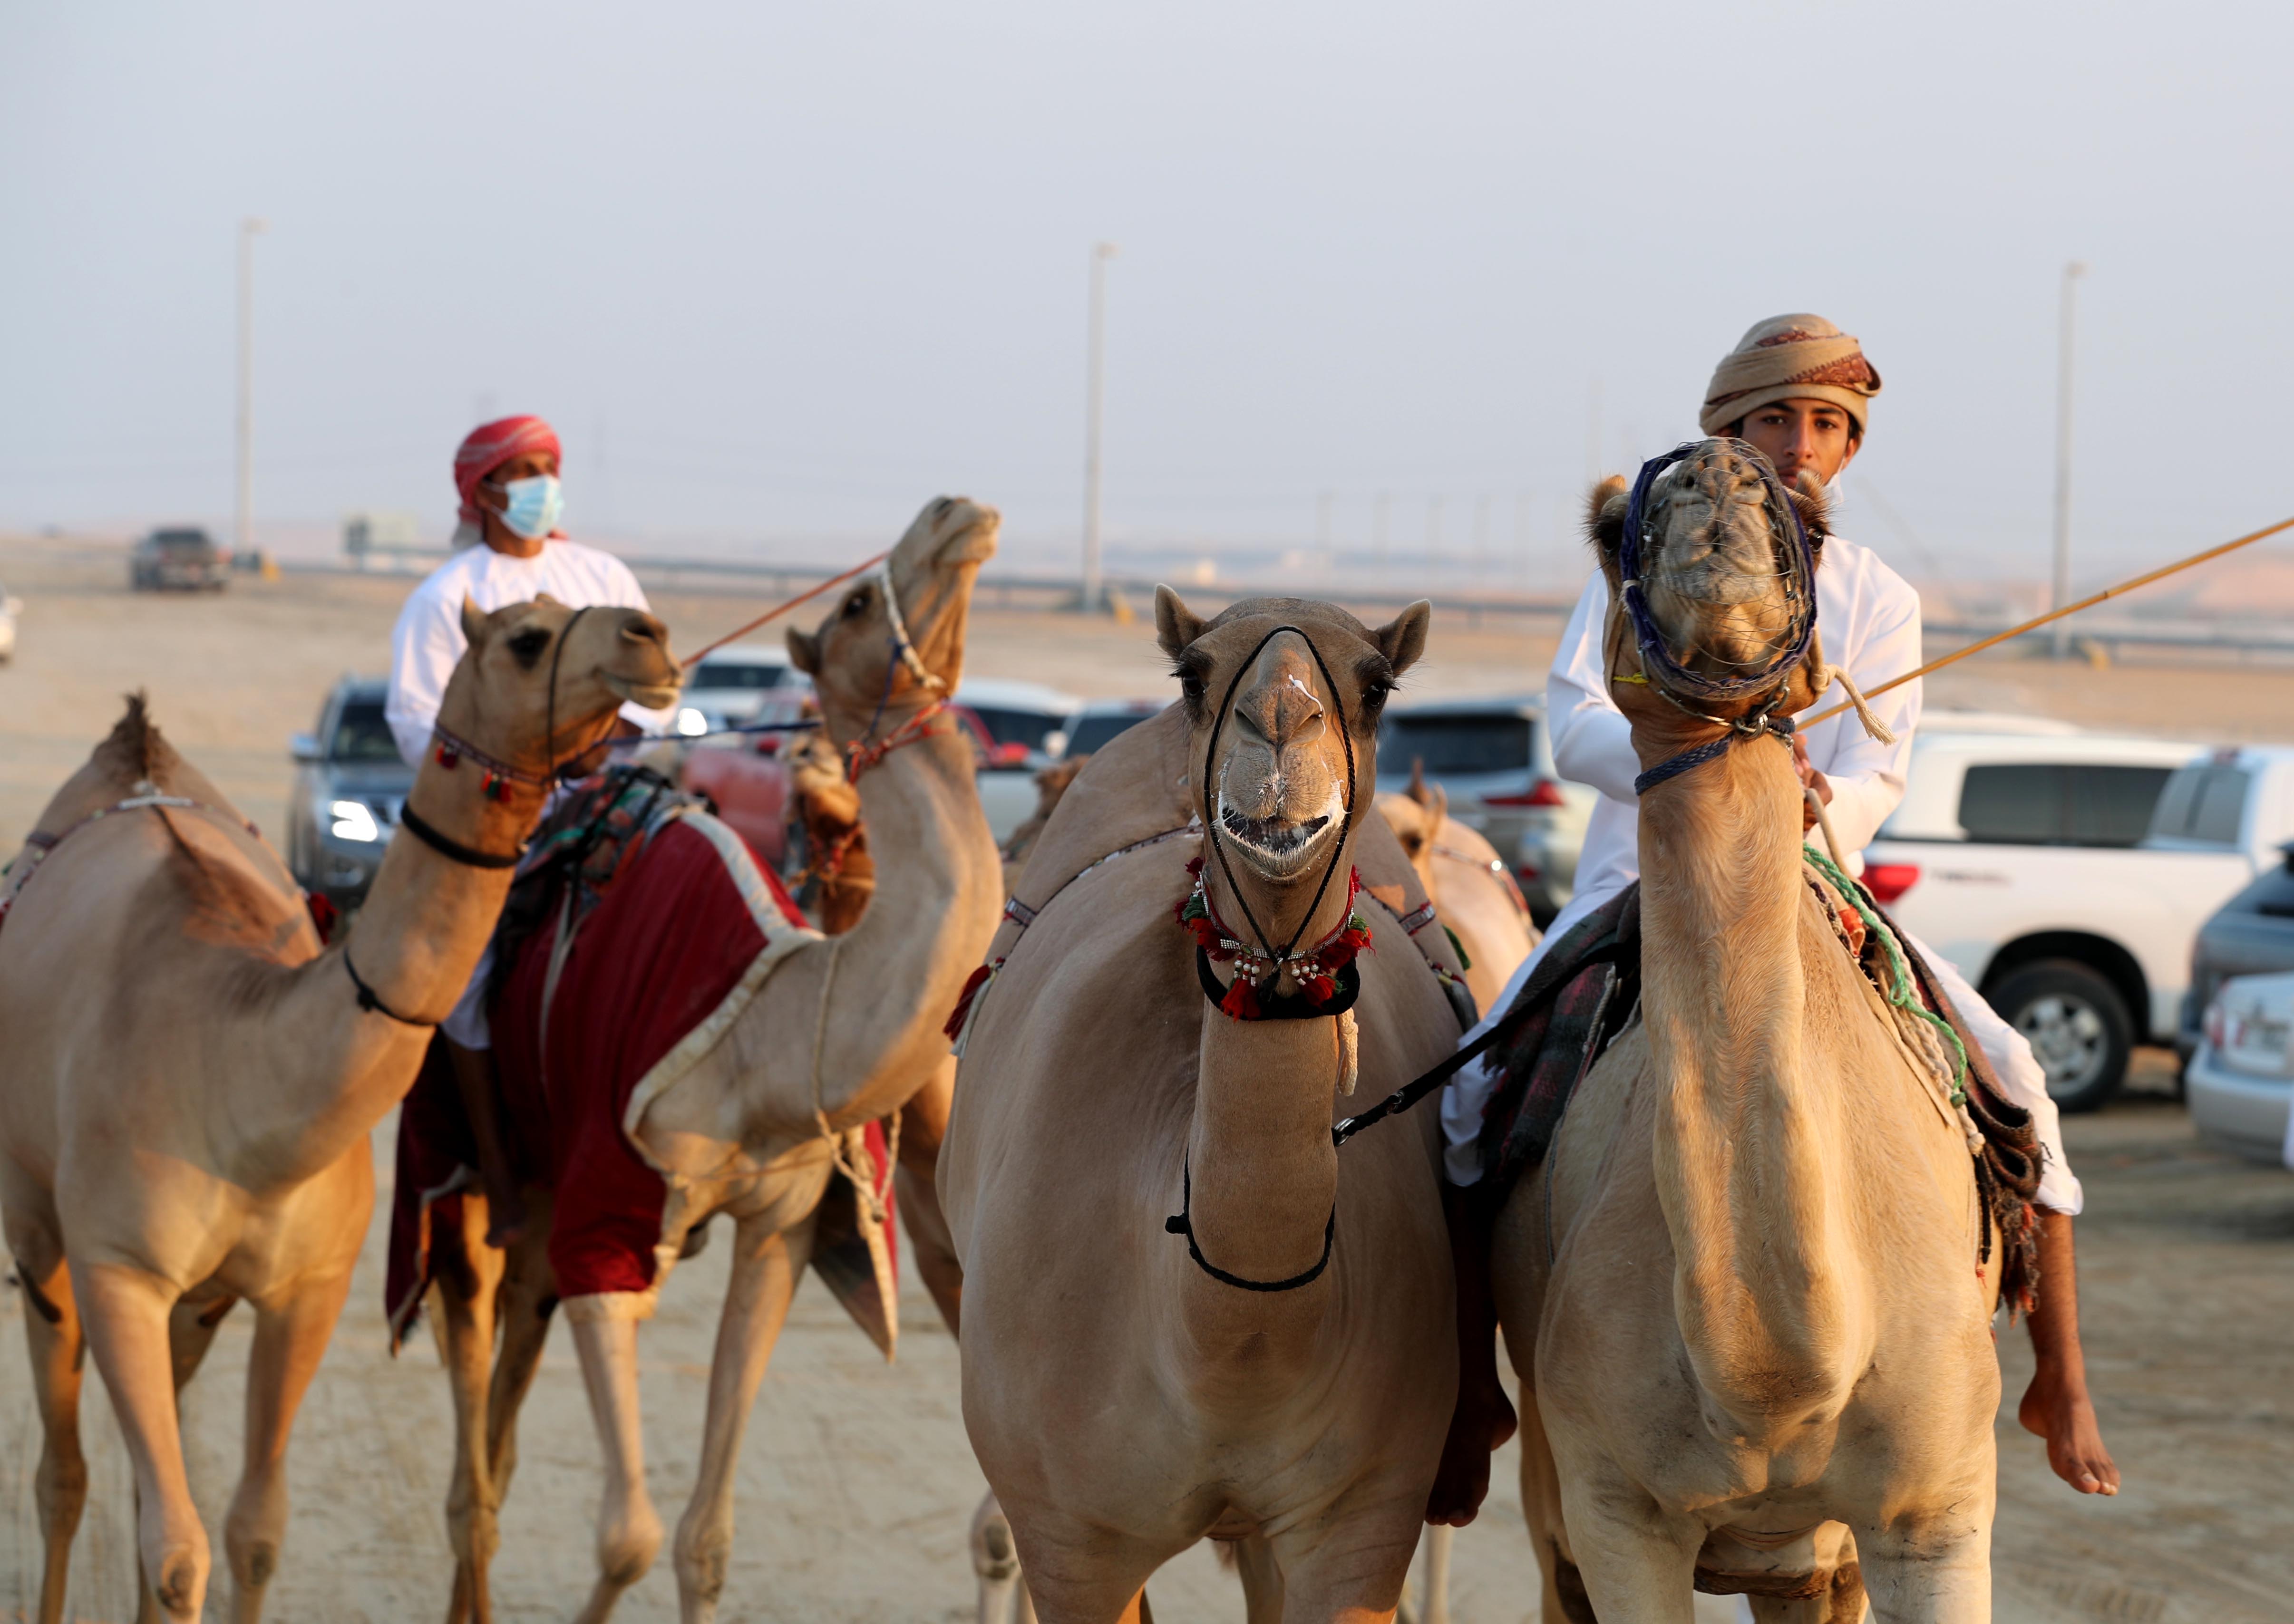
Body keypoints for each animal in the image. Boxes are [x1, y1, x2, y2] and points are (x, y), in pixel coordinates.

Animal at [0, 601, 679, 1624]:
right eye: (527, 636)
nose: (651, 636)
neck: (241, 1086)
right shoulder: (120, 1267)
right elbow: (176, 1549)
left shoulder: (309, 1285)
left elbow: (252, 1530)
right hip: (39, 1222)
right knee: (62, 1472)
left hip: (200, 1299)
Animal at [424, 495, 1004, 1624]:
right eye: (857, 602)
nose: (957, 511)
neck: (768, 1036)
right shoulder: (608, 1214)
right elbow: (628, 1535)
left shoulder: (778, 1225)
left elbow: (702, 1539)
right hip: (462, 1182)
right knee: (470, 1436)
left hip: (542, 1210)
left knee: (503, 1411)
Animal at [945, 591, 1468, 1614]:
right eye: (1193, 675)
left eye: (1377, 686)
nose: (1278, 722)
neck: (1226, 1342)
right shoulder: (1072, 1534)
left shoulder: (1357, 1521)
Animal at [1486, 447, 2009, 1624]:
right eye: (1609, 528)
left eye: (1810, 513)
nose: (1715, 476)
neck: (1777, 1379)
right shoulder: (1614, 1510)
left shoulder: (1937, 1512)